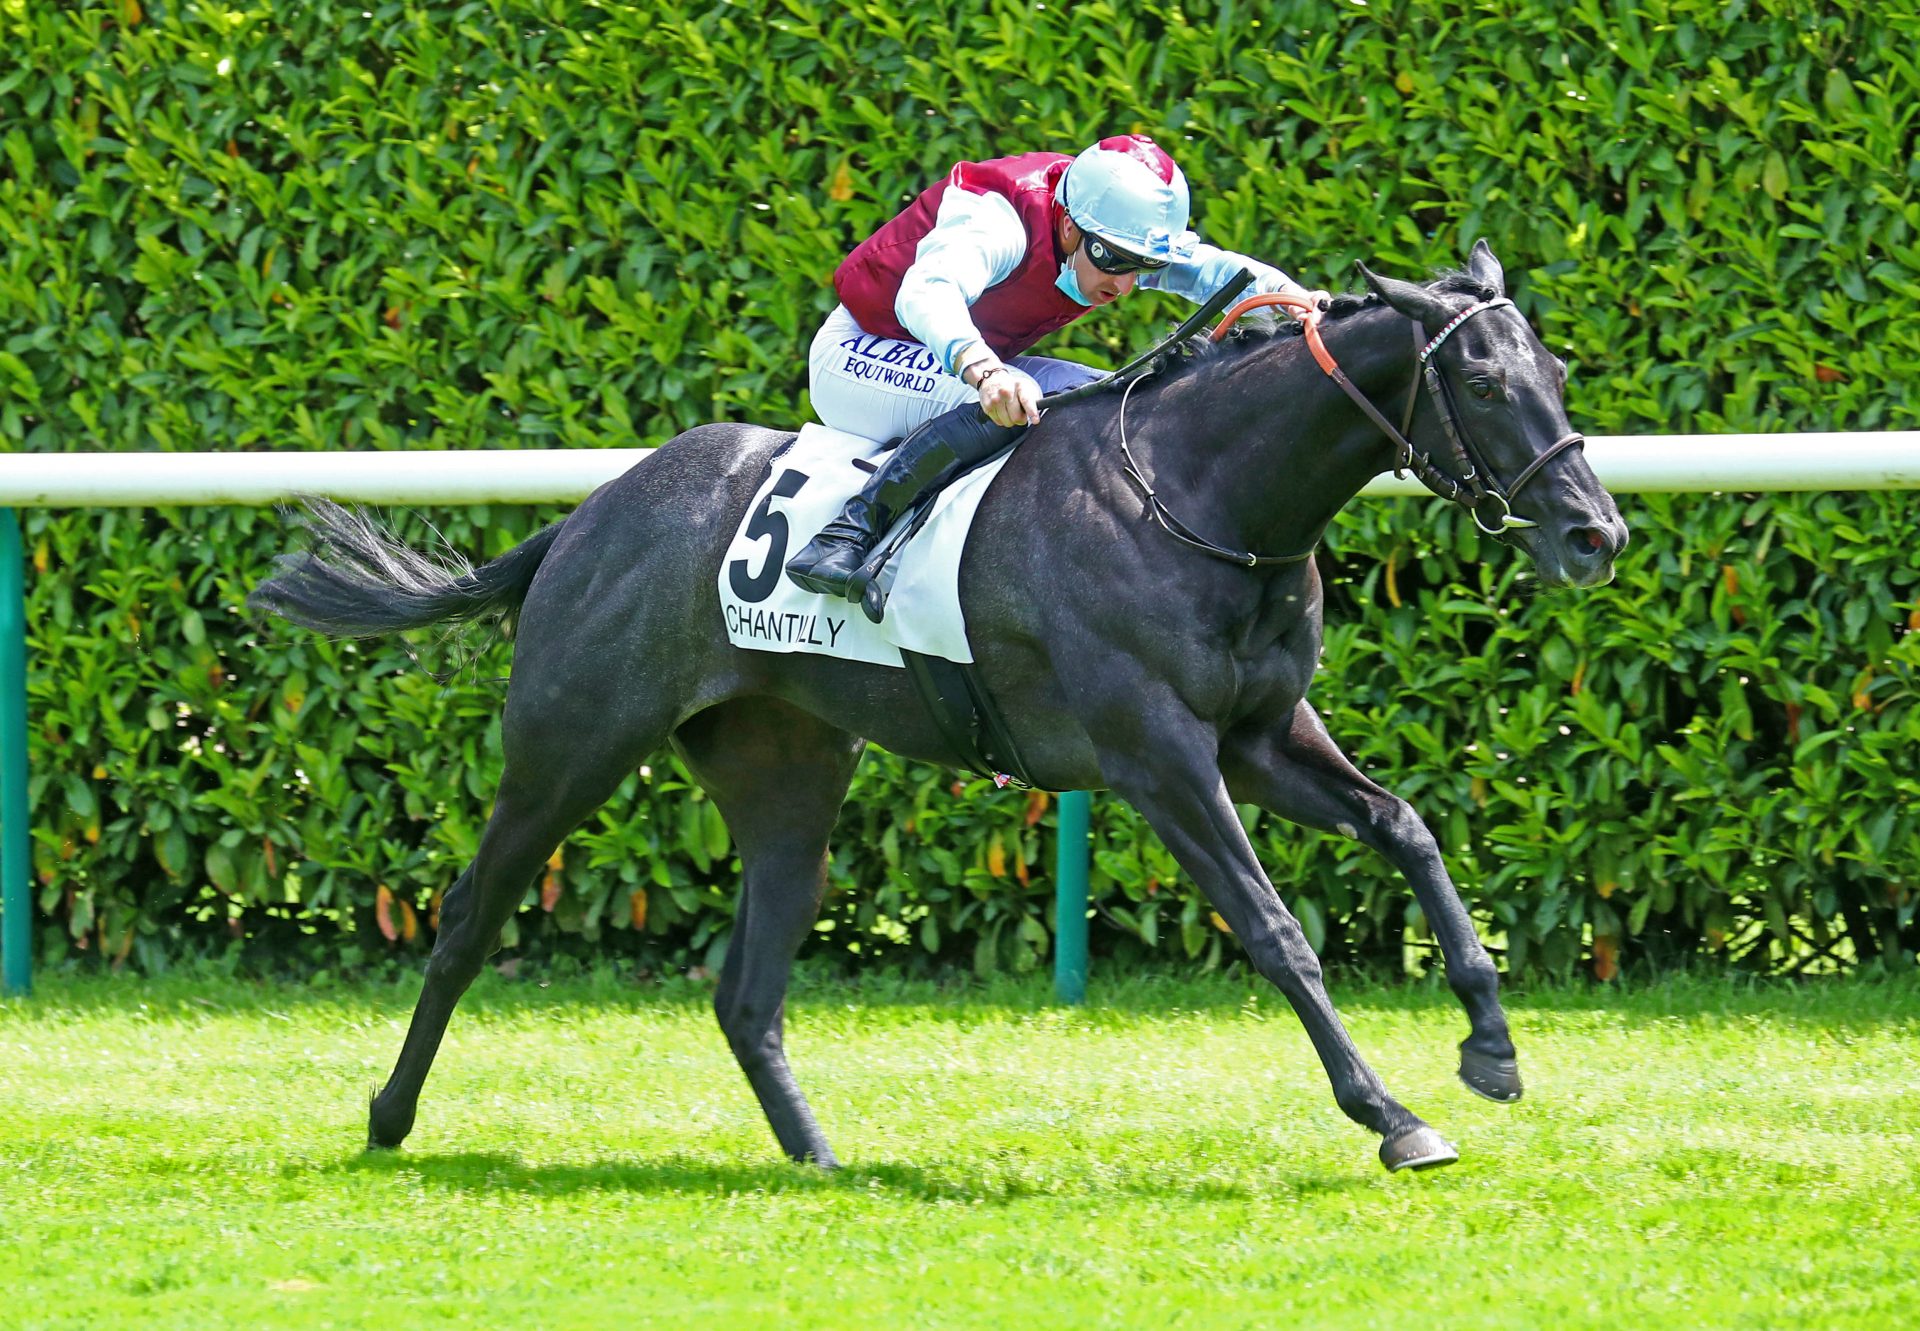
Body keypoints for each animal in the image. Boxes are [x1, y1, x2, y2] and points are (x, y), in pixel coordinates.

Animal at [255, 243, 1628, 1167]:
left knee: (747, 987)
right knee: (468, 916)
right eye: (1488, 386)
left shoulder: (1259, 734)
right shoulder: (1159, 756)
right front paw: (1392, 1113)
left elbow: (1407, 827)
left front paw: (1491, 1044)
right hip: (570, 746)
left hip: (790, 774)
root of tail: (594, 512)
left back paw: (816, 1153)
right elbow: (1276, 927)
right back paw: (388, 1116)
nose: (1595, 533)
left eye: (1555, 371)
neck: (1203, 496)